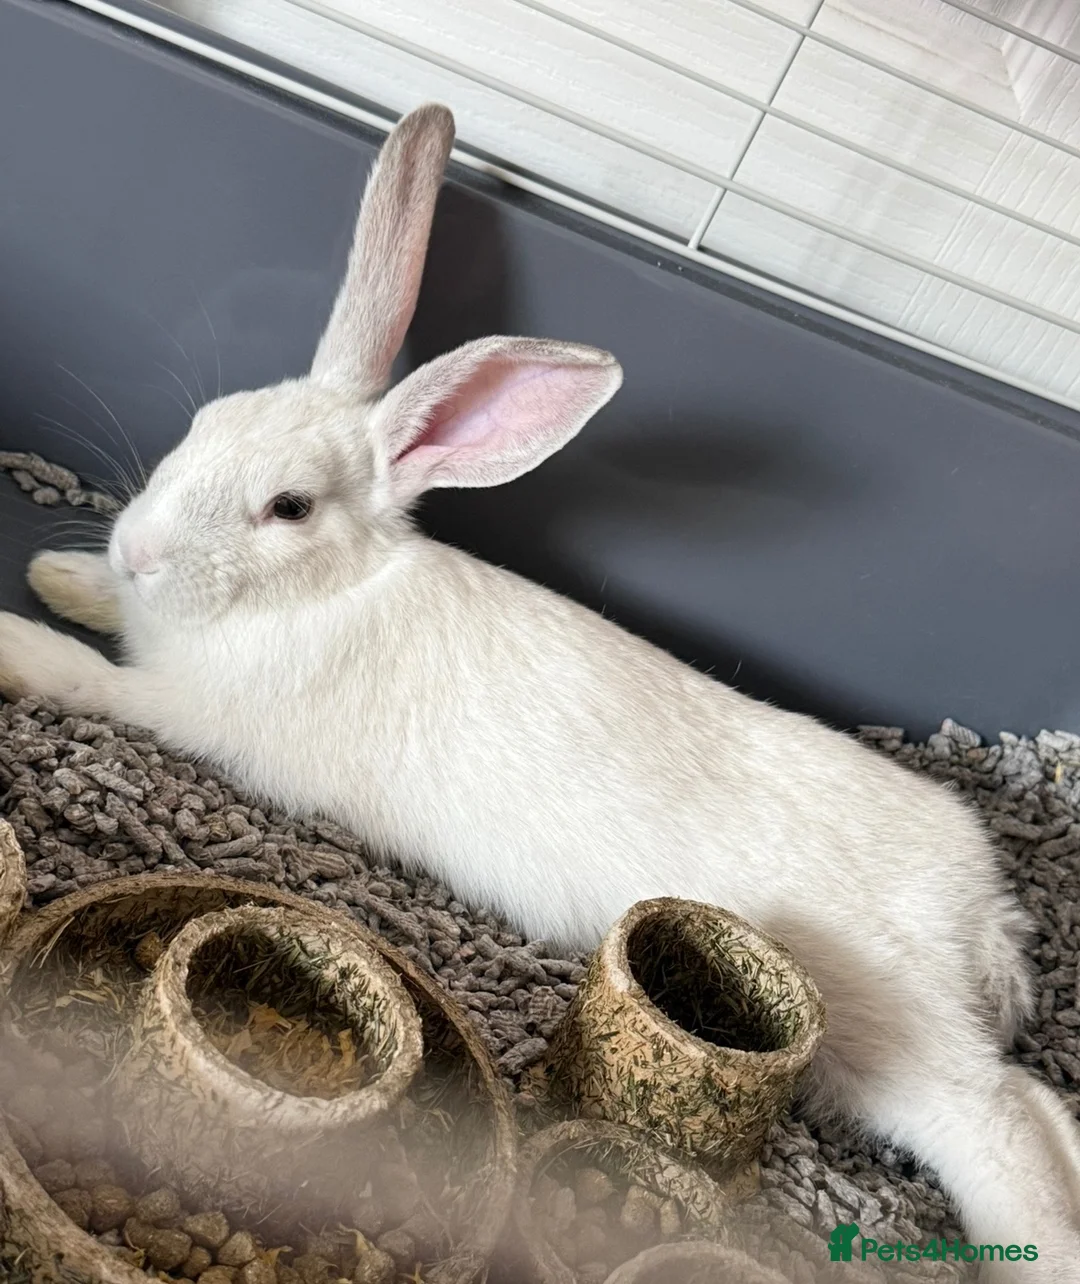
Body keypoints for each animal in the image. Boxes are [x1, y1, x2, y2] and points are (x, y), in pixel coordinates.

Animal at [1, 103, 1078, 1281]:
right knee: (1040, 1105)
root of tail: (983, 912)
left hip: (892, 1035)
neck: (326, 588)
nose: (137, 549)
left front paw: (18, 635)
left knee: (995, 1121)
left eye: (288, 507)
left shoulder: (196, 715)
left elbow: (95, 683)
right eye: (204, 423)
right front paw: (61, 577)